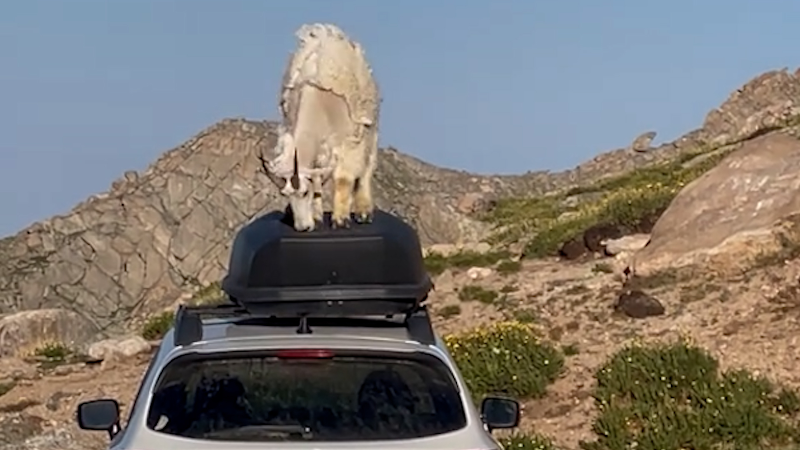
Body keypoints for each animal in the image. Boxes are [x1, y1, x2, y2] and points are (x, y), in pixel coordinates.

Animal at [258, 22, 380, 230]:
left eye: (304, 192)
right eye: (285, 196)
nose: (303, 228)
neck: (320, 107)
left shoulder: (348, 143)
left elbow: (343, 179)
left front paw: (340, 219)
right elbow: (316, 178)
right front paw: (316, 216)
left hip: (369, 128)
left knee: (367, 167)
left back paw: (363, 211)